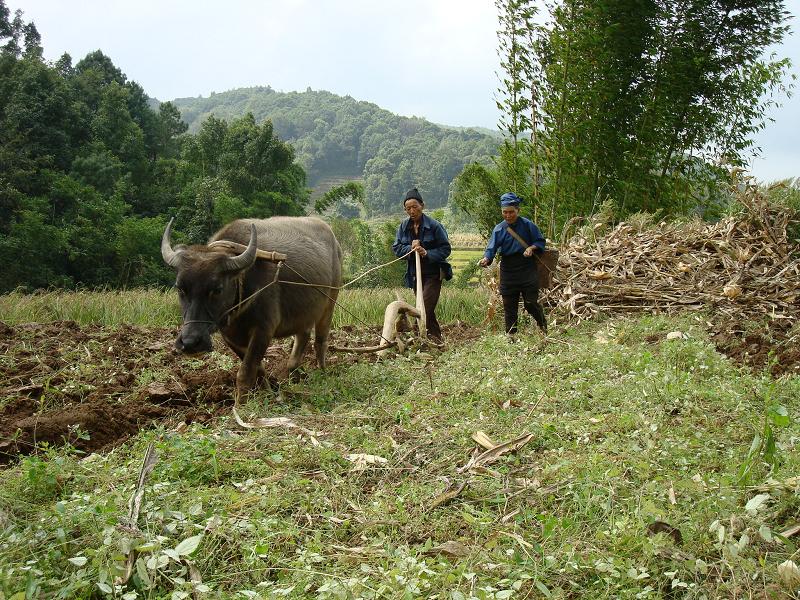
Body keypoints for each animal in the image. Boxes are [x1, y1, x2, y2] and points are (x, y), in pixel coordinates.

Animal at [161, 216, 342, 394]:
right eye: (180, 288)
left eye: (217, 289)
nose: (190, 343)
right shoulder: (230, 335)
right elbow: (258, 369)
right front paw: (269, 392)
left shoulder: (263, 330)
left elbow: (245, 373)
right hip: (305, 311)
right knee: (303, 334)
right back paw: (293, 370)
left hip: (330, 303)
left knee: (320, 341)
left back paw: (322, 371)